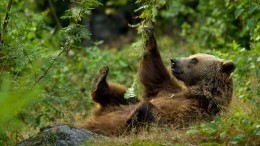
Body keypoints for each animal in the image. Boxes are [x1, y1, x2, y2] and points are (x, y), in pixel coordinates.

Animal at [81, 27, 236, 136]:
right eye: (192, 56)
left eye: (194, 60)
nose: (174, 61)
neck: (197, 92)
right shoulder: (168, 90)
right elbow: (156, 78)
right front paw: (149, 36)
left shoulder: (197, 111)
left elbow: (163, 120)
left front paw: (135, 115)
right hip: (114, 105)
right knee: (120, 96)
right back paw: (99, 80)